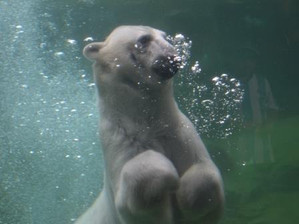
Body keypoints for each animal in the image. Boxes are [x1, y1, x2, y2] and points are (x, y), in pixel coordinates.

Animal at [77, 26, 225, 224]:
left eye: (165, 36)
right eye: (144, 39)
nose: (173, 55)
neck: (150, 122)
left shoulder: (181, 133)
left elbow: (206, 172)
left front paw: (185, 192)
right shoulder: (118, 139)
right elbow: (134, 202)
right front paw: (168, 172)